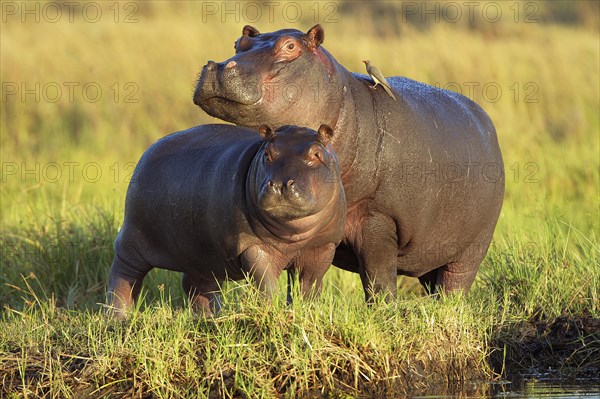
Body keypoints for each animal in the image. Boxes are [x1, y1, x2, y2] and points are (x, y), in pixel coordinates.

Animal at [105, 123, 344, 318]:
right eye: (267, 153)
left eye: (317, 153)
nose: (278, 184)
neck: (293, 234)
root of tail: (148, 151)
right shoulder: (254, 247)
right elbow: (266, 283)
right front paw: (271, 311)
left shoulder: (323, 247)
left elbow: (310, 285)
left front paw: (307, 312)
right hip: (133, 238)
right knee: (123, 276)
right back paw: (118, 318)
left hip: (203, 254)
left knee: (198, 284)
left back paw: (210, 317)